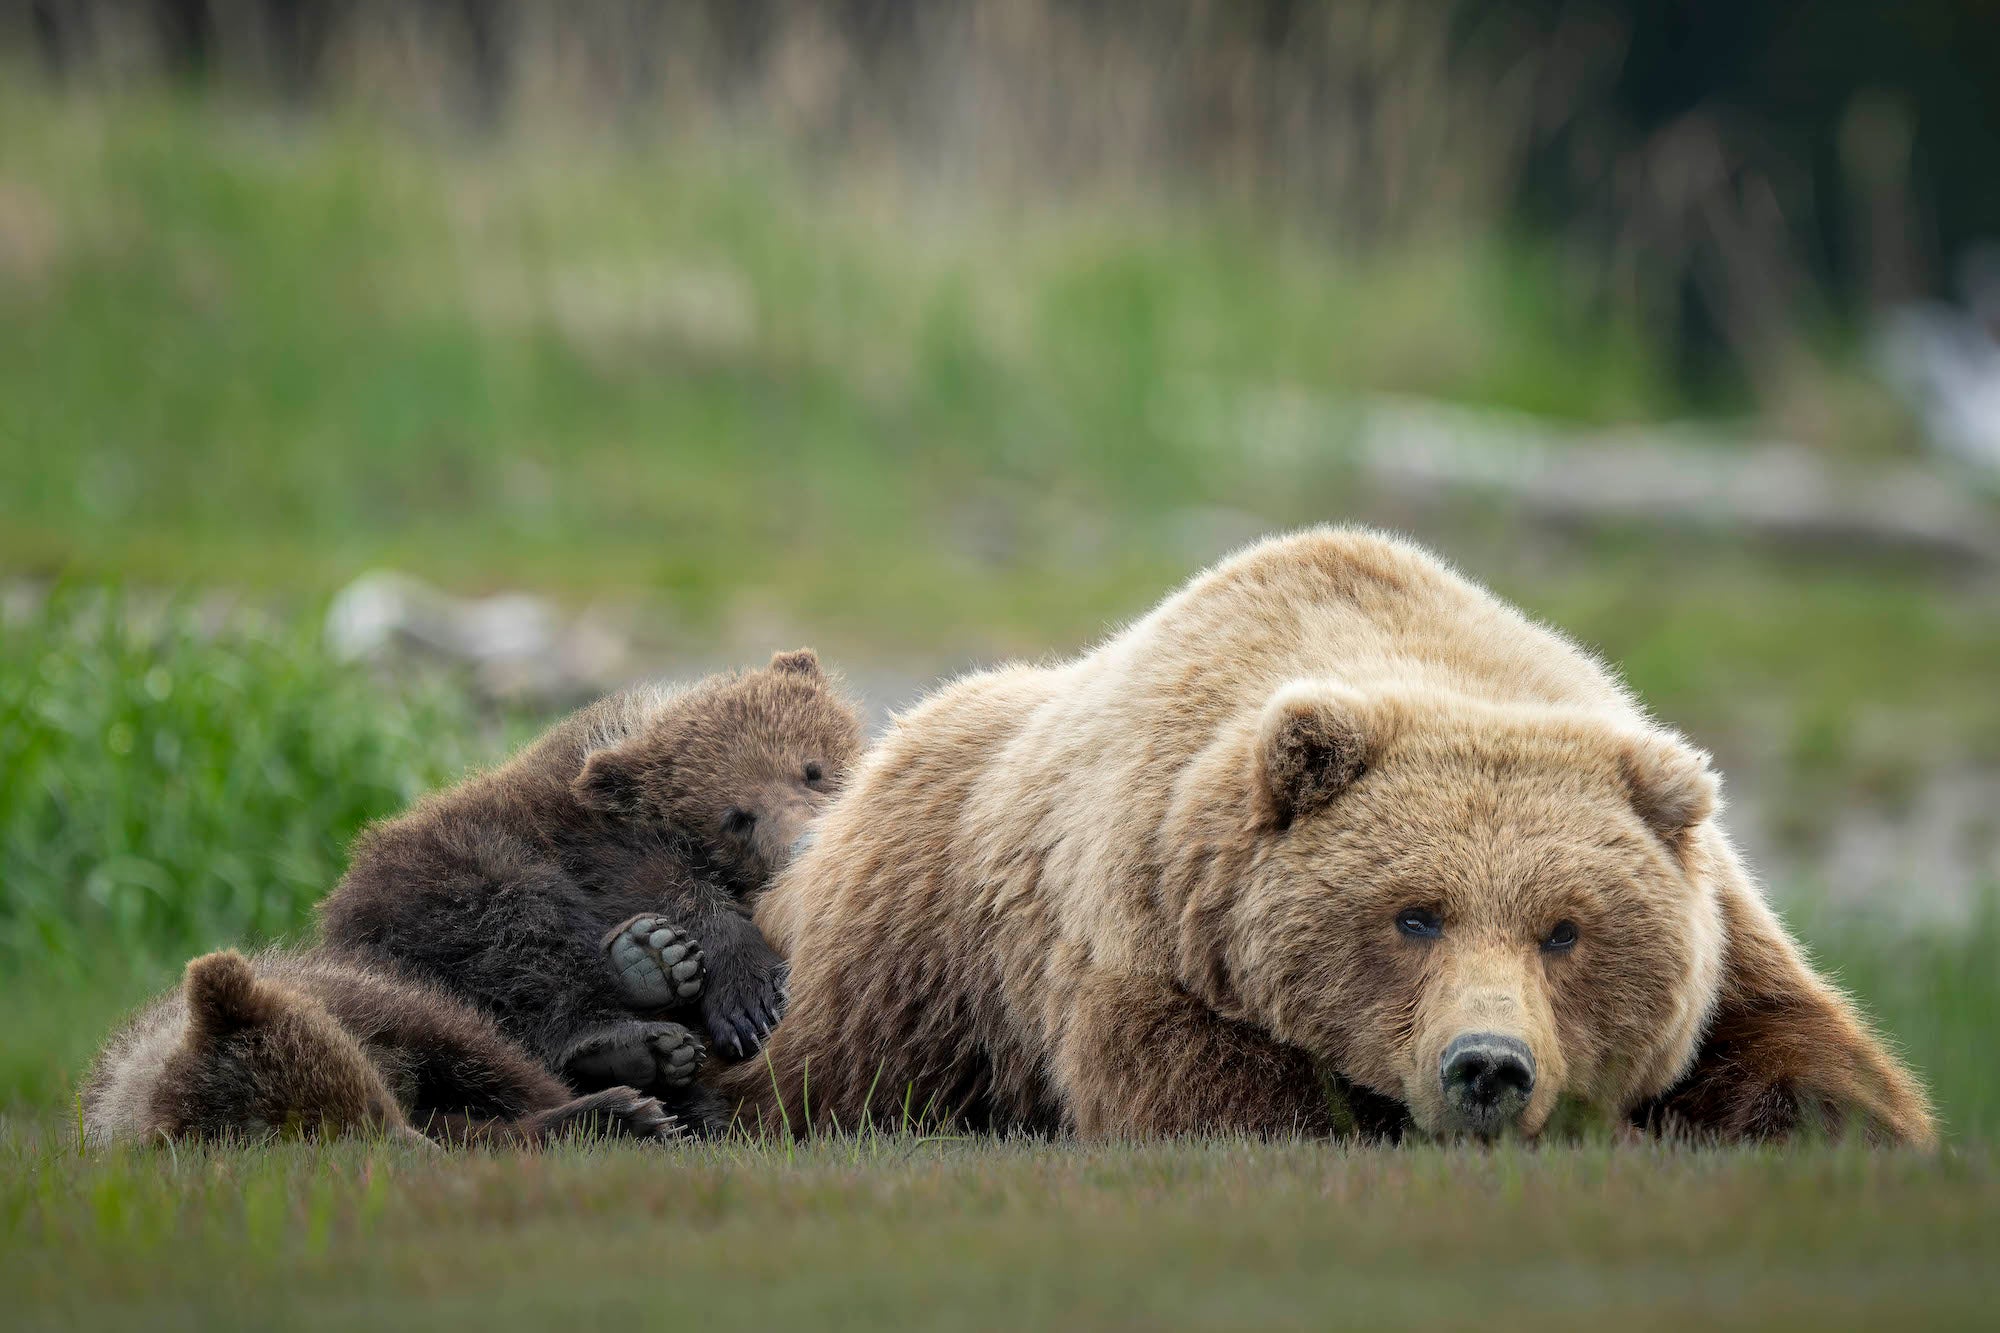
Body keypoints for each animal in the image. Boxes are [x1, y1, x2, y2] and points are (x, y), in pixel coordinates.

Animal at [720, 528, 1936, 1144]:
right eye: (1414, 915)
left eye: (1565, 930)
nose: (1485, 1066)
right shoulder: (1152, 936)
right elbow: (1230, 1102)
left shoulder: (1723, 942)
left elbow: (1813, 1066)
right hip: (914, 949)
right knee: (818, 1070)